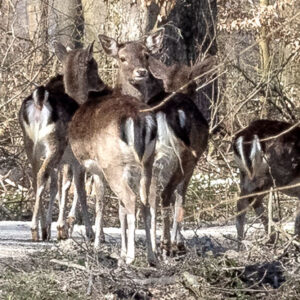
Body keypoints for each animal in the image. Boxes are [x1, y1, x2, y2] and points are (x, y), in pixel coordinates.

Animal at [54, 42, 158, 264]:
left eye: (94, 63)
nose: (102, 86)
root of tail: (139, 119)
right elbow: (118, 209)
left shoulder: (94, 167)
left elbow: (98, 201)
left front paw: (96, 243)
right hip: (146, 163)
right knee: (146, 201)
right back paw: (152, 257)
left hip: (113, 165)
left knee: (131, 199)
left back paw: (131, 257)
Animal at [98, 28, 209, 255]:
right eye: (122, 57)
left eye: (146, 55)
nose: (141, 72)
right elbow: (179, 196)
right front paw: (177, 242)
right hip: (183, 157)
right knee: (166, 195)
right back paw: (167, 244)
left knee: (148, 197)